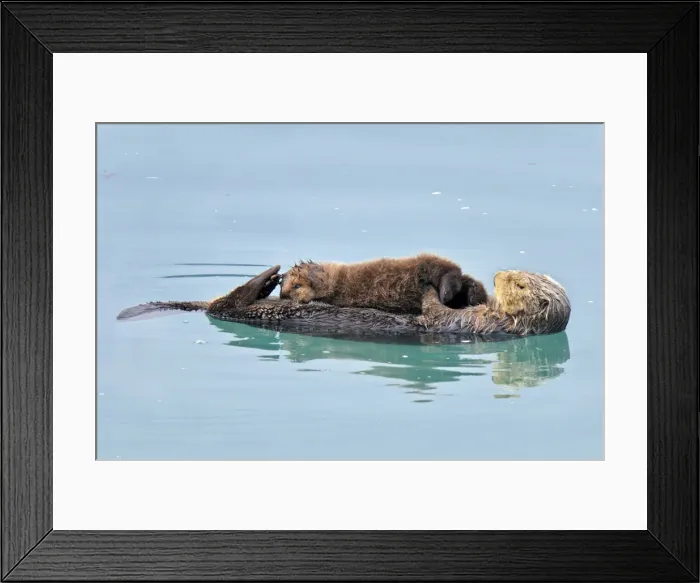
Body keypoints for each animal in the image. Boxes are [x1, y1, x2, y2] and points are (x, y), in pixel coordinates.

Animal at [278, 253, 477, 314]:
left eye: (296, 286)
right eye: (283, 288)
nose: (283, 295)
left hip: (426, 264)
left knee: (450, 270)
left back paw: (446, 293)